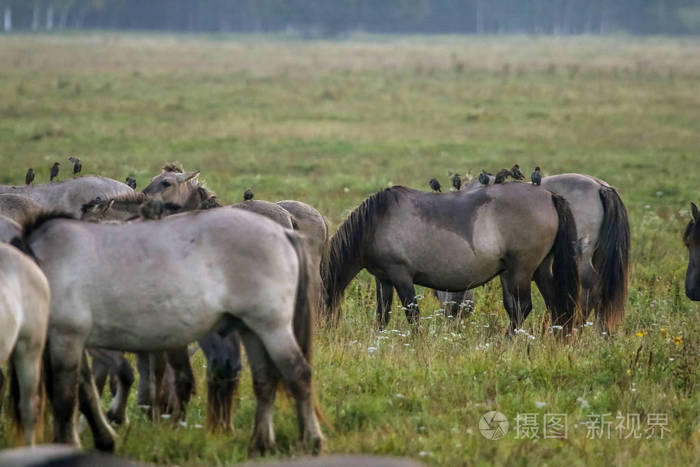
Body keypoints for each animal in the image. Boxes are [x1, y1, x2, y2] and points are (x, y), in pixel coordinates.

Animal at [23, 207, 324, 454]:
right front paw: (103, 439)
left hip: (272, 328)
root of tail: (283, 232)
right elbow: (85, 392)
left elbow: (65, 397)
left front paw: (69, 443)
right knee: (264, 381)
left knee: (298, 374)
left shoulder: (66, 338)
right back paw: (261, 444)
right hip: (251, 330)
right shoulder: (72, 344)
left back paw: (311, 440)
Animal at [322, 183, 580, 332]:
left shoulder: (401, 275)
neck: (377, 222)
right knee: (553, 306)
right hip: (538, 270)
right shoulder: (383, 279)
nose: (323, 333)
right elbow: (382, 316)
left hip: (521, 271)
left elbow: (412, 314)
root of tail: (549, 195)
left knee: (522, 309)